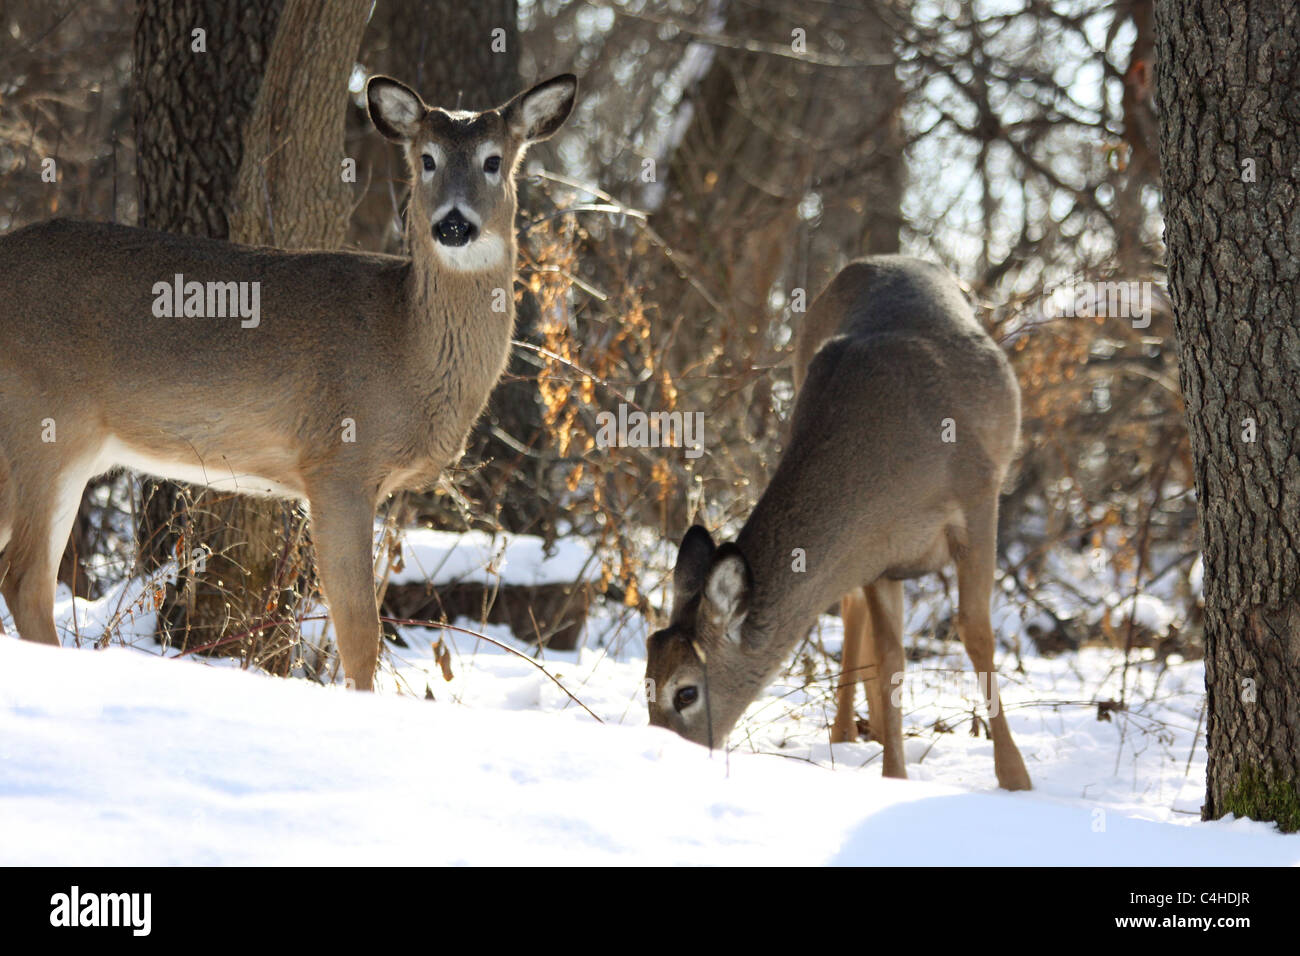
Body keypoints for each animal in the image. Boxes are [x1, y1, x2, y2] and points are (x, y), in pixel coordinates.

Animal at [0, 72, 579, 686]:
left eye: (495, 161)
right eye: (427, 158)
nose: (453, 223)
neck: (406, 346)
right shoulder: (338, 464)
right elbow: (359, 632)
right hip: (50, 422)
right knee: (24, 577)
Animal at [644, 256, 1029, 790]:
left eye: (685, 692)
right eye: (646, 684)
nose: (659, 752)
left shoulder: (978, 496)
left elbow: (975, 631)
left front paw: (1016, 778)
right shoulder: (877, 553)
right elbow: (890, 660)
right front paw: (893, 775)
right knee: (852, 615)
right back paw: (849, 731)